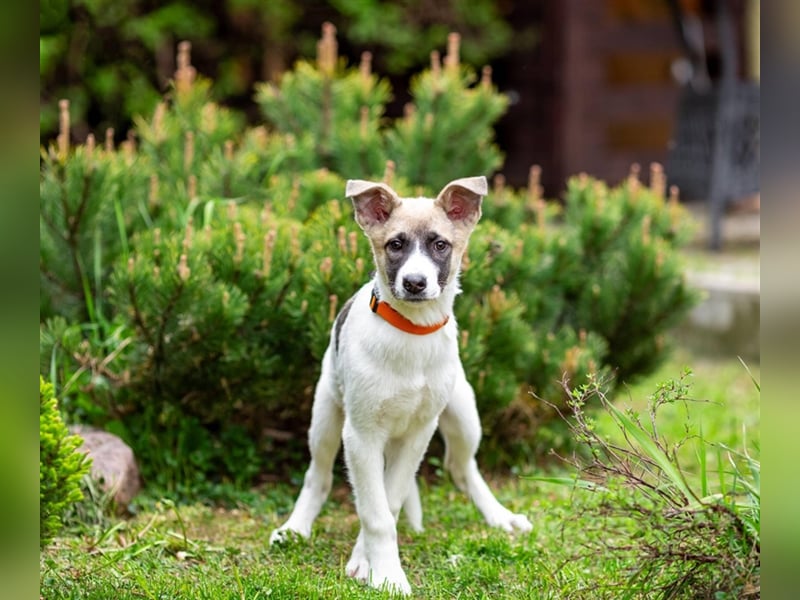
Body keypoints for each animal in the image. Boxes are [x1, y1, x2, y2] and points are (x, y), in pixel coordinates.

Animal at [268, 176, 532, 592]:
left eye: (440, 245)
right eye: (395, 244)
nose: (414, 283)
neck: (412, 330)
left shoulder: (418, 434)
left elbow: (387, 503)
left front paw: (367, 562)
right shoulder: (361, 436)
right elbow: (375, 511)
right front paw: (387, 574)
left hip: (464, 415)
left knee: (462, 468)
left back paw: (500, 516)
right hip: (325, 420)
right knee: (318, 476)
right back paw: (294, 528)